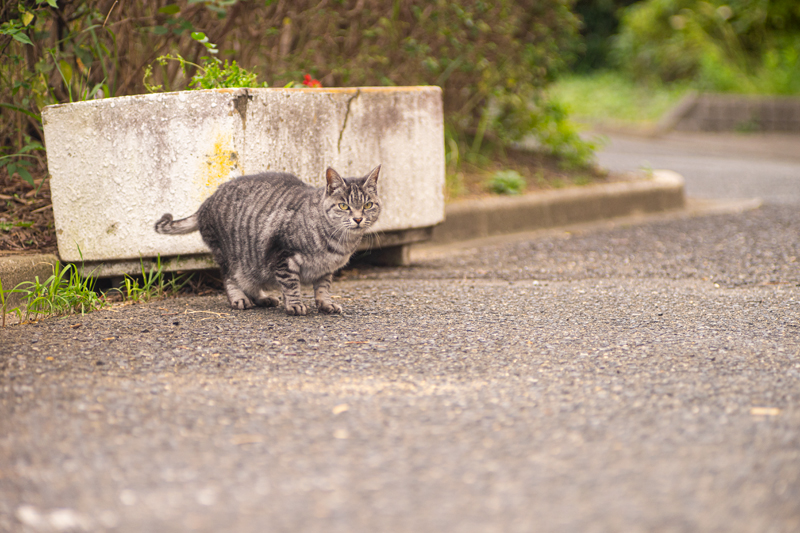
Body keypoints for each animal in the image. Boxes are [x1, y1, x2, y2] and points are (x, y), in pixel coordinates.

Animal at [157, 165, 384, 316]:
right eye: (344, 206)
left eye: (368, 205)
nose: (358, 219)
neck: (339, 242)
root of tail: (206, 203)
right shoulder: (283, 255)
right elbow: (291, 285)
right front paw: (294, 305)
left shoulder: (326, 269)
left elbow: (323, 288)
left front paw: (326, 304)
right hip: (231, 257)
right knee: (230, 279)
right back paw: (239, 299)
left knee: (250, 282)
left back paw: (263, 298)